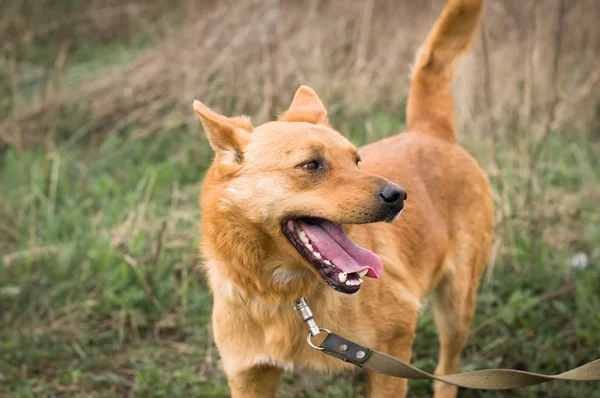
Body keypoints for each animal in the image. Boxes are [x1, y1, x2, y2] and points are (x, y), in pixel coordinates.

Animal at [195, 0, 494, 394]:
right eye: (312, 164)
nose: (398, 195)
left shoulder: (392, 353)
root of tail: (430, 132)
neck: (285, 297)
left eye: (356, 160)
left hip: (457, 305)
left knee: (448, 370)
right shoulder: (250, 378)